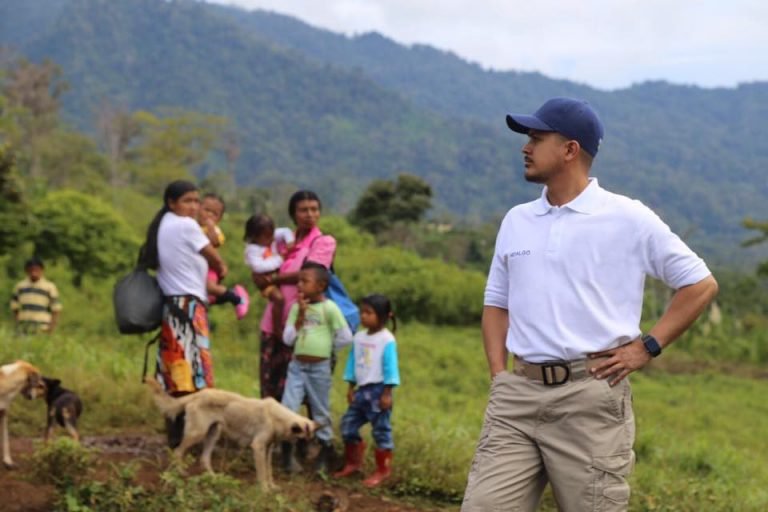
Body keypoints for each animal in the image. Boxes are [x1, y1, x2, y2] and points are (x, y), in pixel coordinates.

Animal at [147, 378, 318, 490]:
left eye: (310, 439)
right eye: (303, 439)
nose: (307, 452)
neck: (277, 417)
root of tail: (199, 394)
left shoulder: (267, 449)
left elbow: (269, 471)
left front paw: (272, 486)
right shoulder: (258, 447)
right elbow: (262, 473)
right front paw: (264, 490)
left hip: (213, 435)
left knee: (204, 459)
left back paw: (214, 478)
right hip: (197, 434)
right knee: (177, 452)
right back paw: (181, 473)